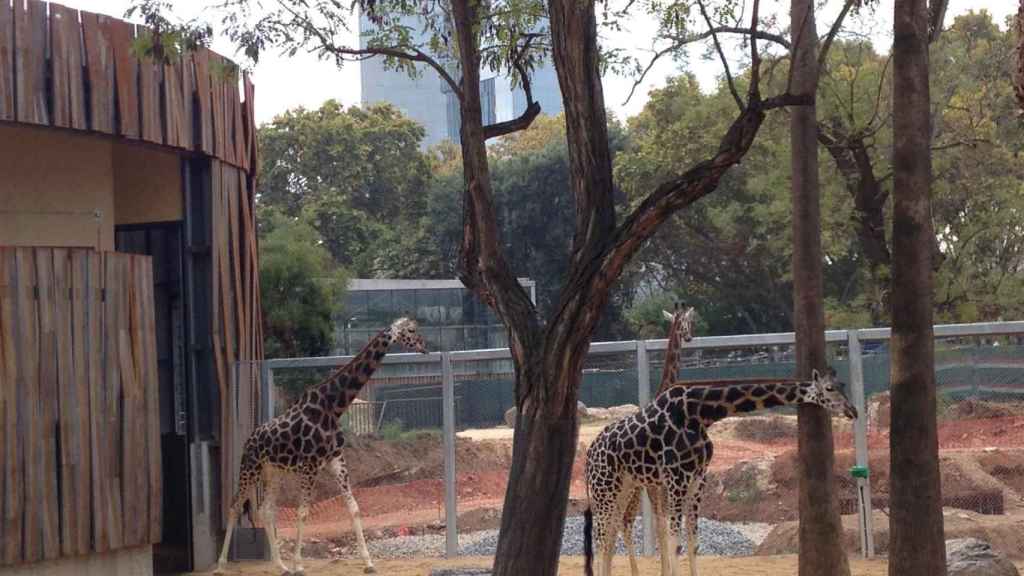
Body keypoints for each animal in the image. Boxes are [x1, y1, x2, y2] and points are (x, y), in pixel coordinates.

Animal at [214, 315, 425, 569]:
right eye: (411, 330)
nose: (424, 347)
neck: (333, 407)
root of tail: (249, 438)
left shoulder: (336, 460)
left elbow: (354, 508)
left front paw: (369, 563)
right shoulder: (310, 465)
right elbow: (303, 512)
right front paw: (299, 565)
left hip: (273, 472)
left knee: (266, 510)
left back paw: (280, 566)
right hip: (250, 467)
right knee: (235, 505)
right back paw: (221, 565)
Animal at [585, 366, 856, 573]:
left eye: (842, 384)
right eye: (829, 388)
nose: (852, 411)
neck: (702, 413)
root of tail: (589, 456)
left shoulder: (698, 478)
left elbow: (692, 543)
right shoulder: (676, 477)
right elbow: (674, 543)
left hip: (623, 488)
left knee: (610, 538)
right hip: (604, 489)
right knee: (600, 540)